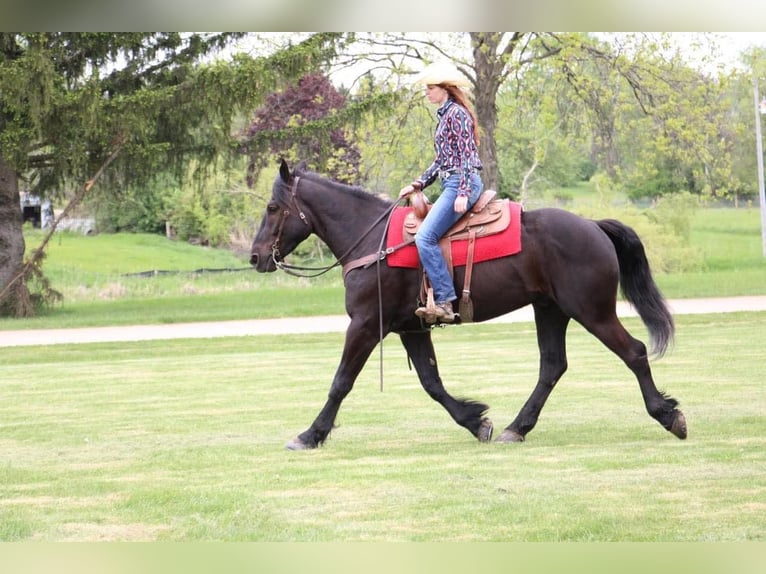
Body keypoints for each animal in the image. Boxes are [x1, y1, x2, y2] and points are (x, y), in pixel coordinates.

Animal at [252, 160, 688, 452]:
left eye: (273, 208)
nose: (256, 256)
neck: (371, 238)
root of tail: (593, 225)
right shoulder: (410, 327)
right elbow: (432, 382)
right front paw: (475, 421)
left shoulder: (365, 323)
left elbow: (341, 382)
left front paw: (310, 434)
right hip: (550, 309)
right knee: (552, 367)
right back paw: (517, 427)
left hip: (592, 311)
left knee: (634, 352)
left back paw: (669, 416)